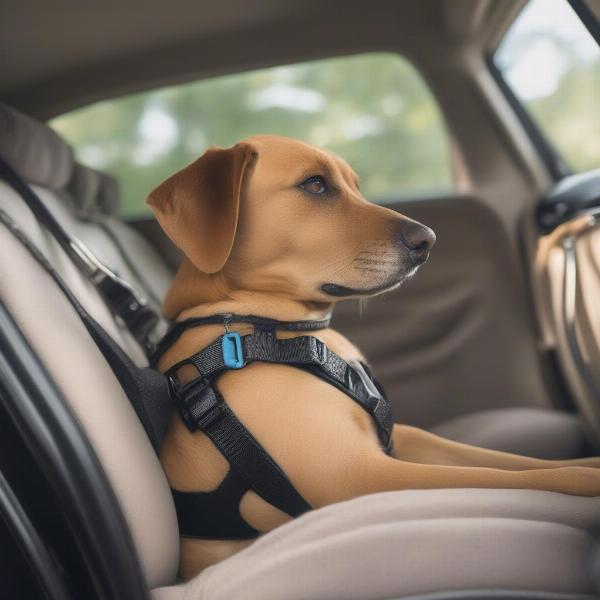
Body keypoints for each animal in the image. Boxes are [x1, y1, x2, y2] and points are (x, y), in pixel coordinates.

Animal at [148, 137, 600, 580]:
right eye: (315, 185)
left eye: (355, 186)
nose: (427, 239)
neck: (258, 326)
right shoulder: (361, 475)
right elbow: (523, 476)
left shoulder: (404, 439)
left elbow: (513, 462)